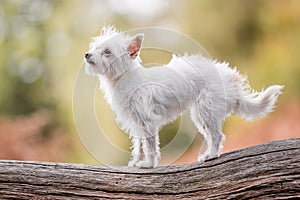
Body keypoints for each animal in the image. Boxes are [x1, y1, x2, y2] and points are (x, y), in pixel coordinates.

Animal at [83, 25, 282, 168]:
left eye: (107, 52)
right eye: (95, 47)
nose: (87, 54)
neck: (124, 78)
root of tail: (228, 76)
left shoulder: (148, 122)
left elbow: (150, 146)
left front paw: (148, 164)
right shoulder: (136, 123)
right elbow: (139, 146)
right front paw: (135, 162)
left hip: (205, 112)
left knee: (217, 136)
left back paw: (211, 155)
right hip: (202, 115)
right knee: (213, 136)